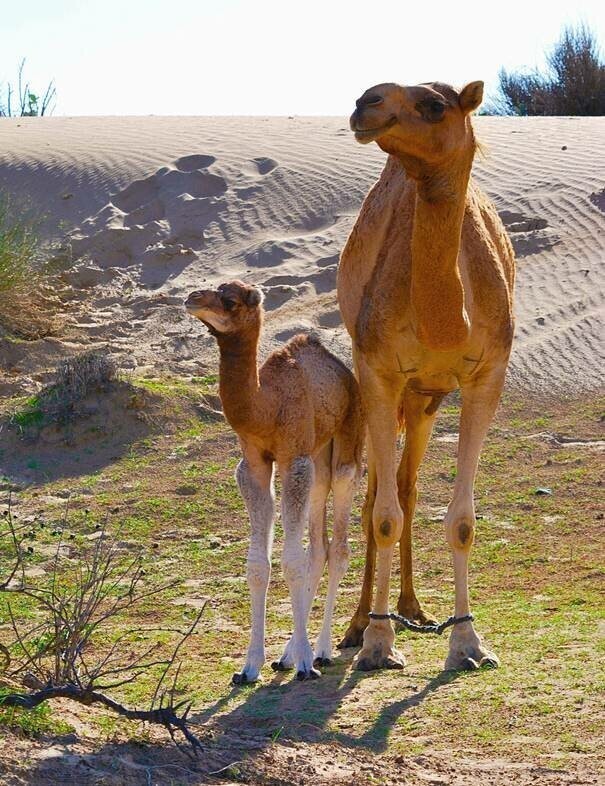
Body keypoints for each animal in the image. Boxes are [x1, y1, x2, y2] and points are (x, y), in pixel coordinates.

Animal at [184, 282, 364, 680]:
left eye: (230, 300)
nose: (191, 298)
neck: (266, 406)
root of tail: (346, 373)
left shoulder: (293, 459)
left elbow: (291, 561)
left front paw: (305, 663)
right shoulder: (253, 464)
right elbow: (258, 565)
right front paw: (250, 665)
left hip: (346, 444)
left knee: (339, 547)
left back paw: (321, 650)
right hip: (318, 458)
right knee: (319, 547)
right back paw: (290, 654)